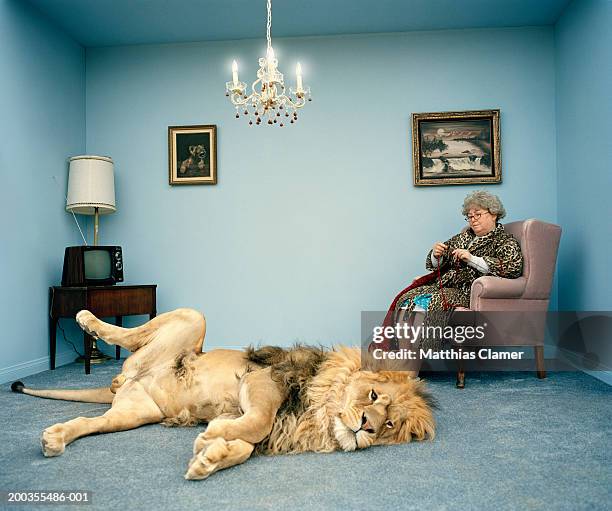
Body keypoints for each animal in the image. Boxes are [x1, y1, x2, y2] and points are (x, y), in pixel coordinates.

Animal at [10, 308, 436, 480]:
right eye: (373, 396)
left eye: (390, 425)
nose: (366, 426)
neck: (319, 415)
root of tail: (128, 379)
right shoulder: (260, 381)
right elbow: (259, 422)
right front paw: (211, 440)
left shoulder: (249, 415)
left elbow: (246, 442)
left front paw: (209, 458)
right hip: (192, 319)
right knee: (126, 335)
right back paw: (87, 319)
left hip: (132, 414)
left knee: (89, 422)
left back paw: (55, 438)